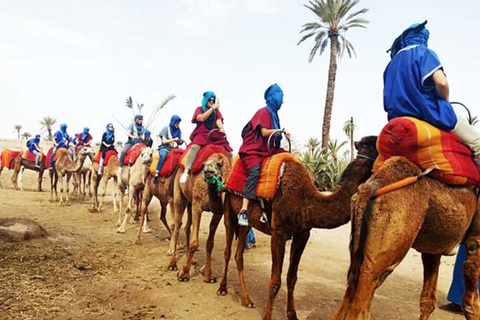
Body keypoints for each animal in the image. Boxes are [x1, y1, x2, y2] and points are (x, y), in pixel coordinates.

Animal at [167, 150, 231, 282]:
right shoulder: (197, 205)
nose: (208, 169)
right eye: (203, 165)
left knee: (186, 227)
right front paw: (183, 273)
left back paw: (190, 261)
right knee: (177, 226)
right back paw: (172, 264)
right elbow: (194, 243)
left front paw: (209, 275)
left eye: (218, 165)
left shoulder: (219, 212)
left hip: (190, 201)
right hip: (179, 194)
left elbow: (210, 243)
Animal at [215, 136, 378, 320]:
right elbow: (275, 281)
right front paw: (267, 316)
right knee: (228, 251)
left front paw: (292, 314)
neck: (305, 199)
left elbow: (292, 278)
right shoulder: (278, 233)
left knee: (239, 254)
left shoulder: (302, 234)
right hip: (228, 209)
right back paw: (222, 288)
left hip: (247, 222)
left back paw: (247, 299)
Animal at [330, 156, 480, 320]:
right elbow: (471, 304)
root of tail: (370, 186)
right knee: (362, 294)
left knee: (352, 292)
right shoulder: (475, 240)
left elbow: (428, 300)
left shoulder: (433, 247)